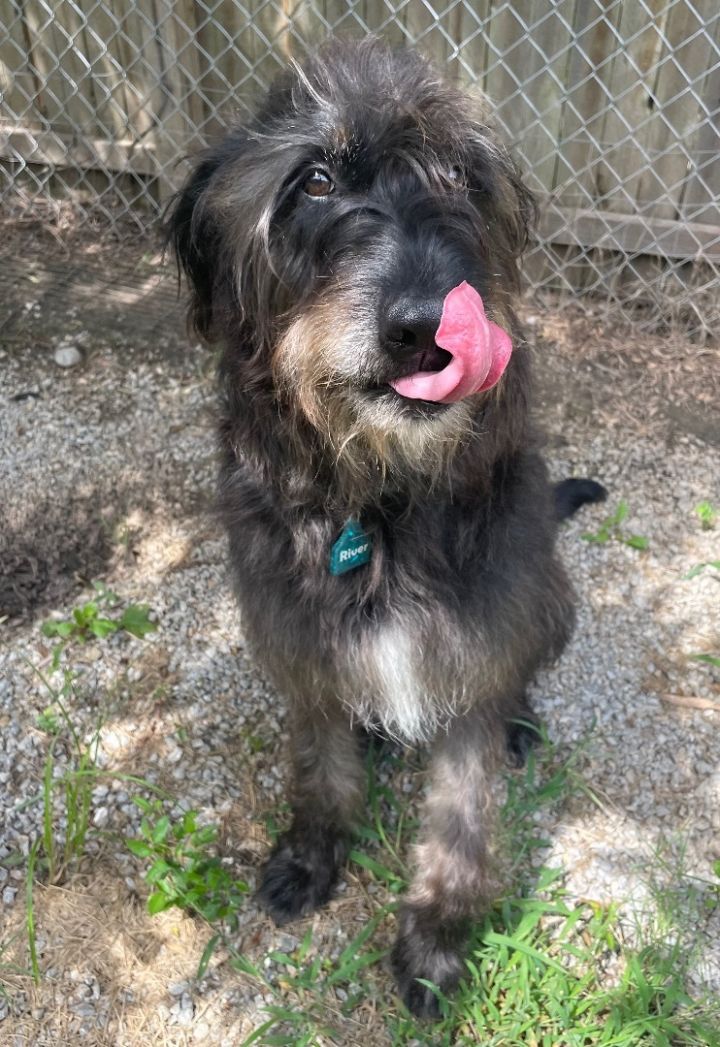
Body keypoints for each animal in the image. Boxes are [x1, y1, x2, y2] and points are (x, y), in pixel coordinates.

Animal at [168, 38, 606, 1013]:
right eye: (316, 180)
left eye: (467, 180)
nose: (423, 329)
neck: (380, 498)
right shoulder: (300, 643)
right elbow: (320, 767)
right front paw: (312, 855)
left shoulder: (475, 651)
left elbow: (462, 818)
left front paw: (438, 939)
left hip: (551, 594)